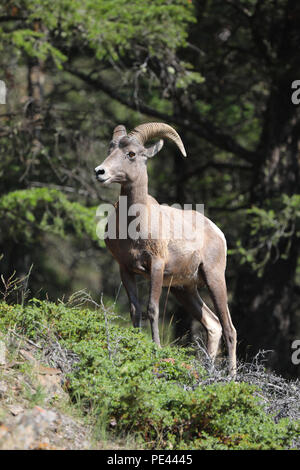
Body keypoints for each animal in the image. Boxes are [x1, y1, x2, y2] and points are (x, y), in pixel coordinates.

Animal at [95, 122, 236, 374]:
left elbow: (152, 308)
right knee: (213, 325)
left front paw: (156, 349)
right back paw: (208, 370)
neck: (134, 225)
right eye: (110, 149)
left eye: (131, 154)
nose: (100, 172)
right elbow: (135, 310)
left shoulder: (156, 266)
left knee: (229, 328)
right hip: (185, 290)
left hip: (214, 279)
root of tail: (218, 233)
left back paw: (231, 376)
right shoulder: (125, 269)